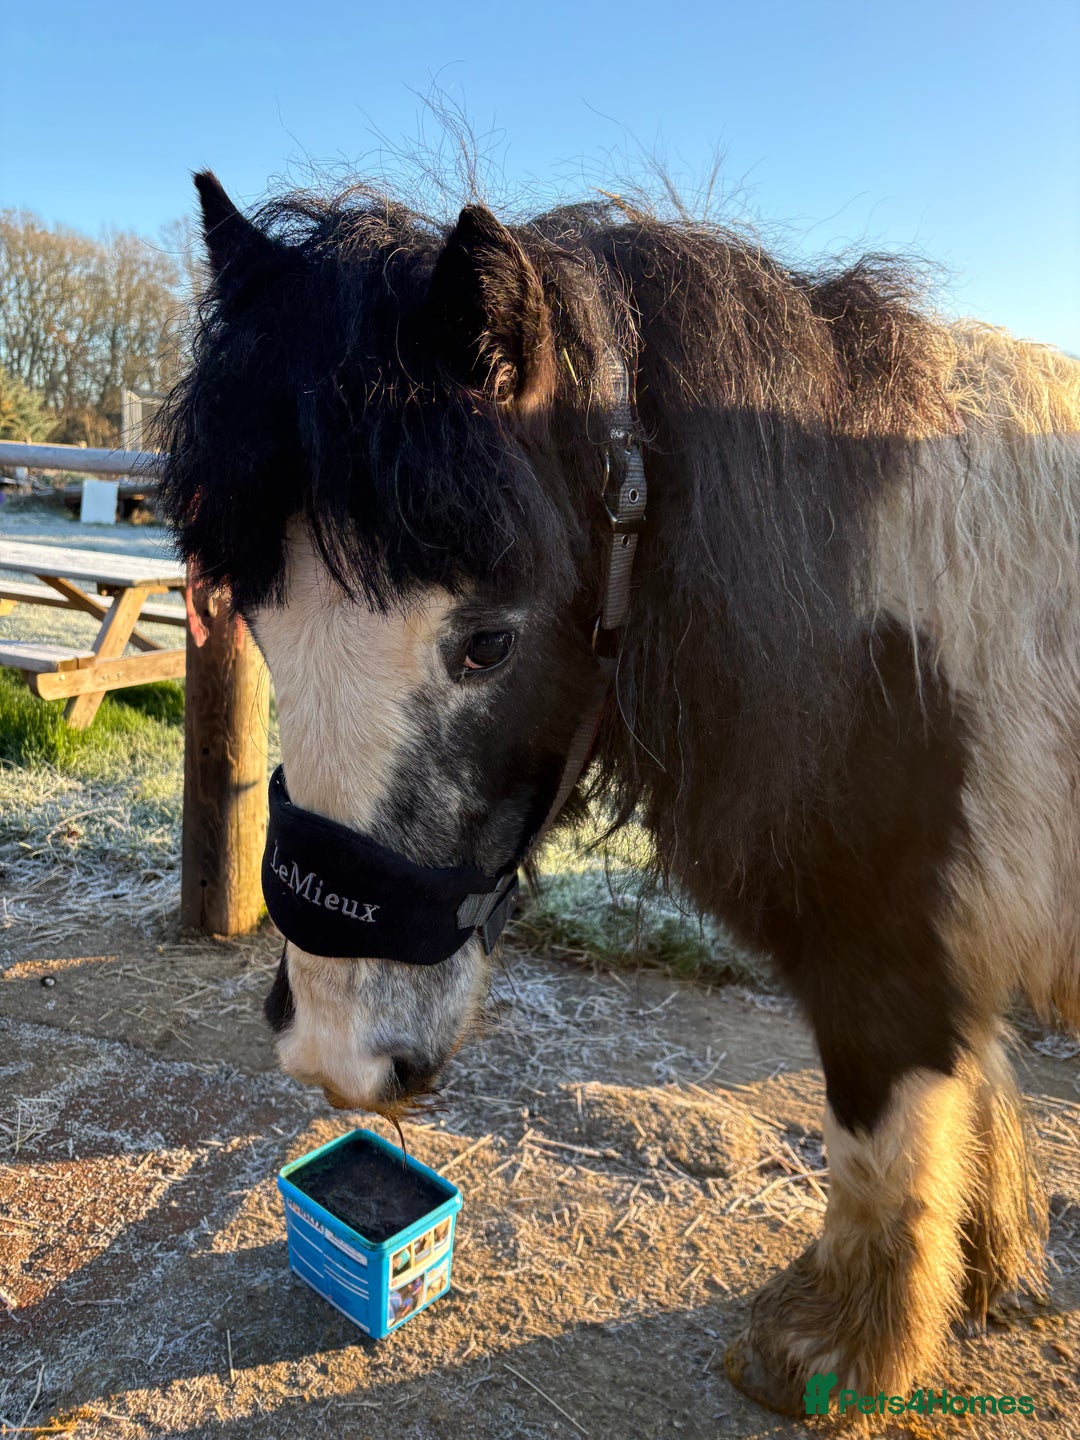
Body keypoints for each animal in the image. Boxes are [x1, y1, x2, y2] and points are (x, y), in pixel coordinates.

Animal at [160, 170, 1080, 1414]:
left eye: (487, 643)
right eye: (259, 617)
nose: (336, 1053)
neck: (889, 645)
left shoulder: (894, 954)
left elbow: (884, 1130)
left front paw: (840, 1348)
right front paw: (975, 1280)